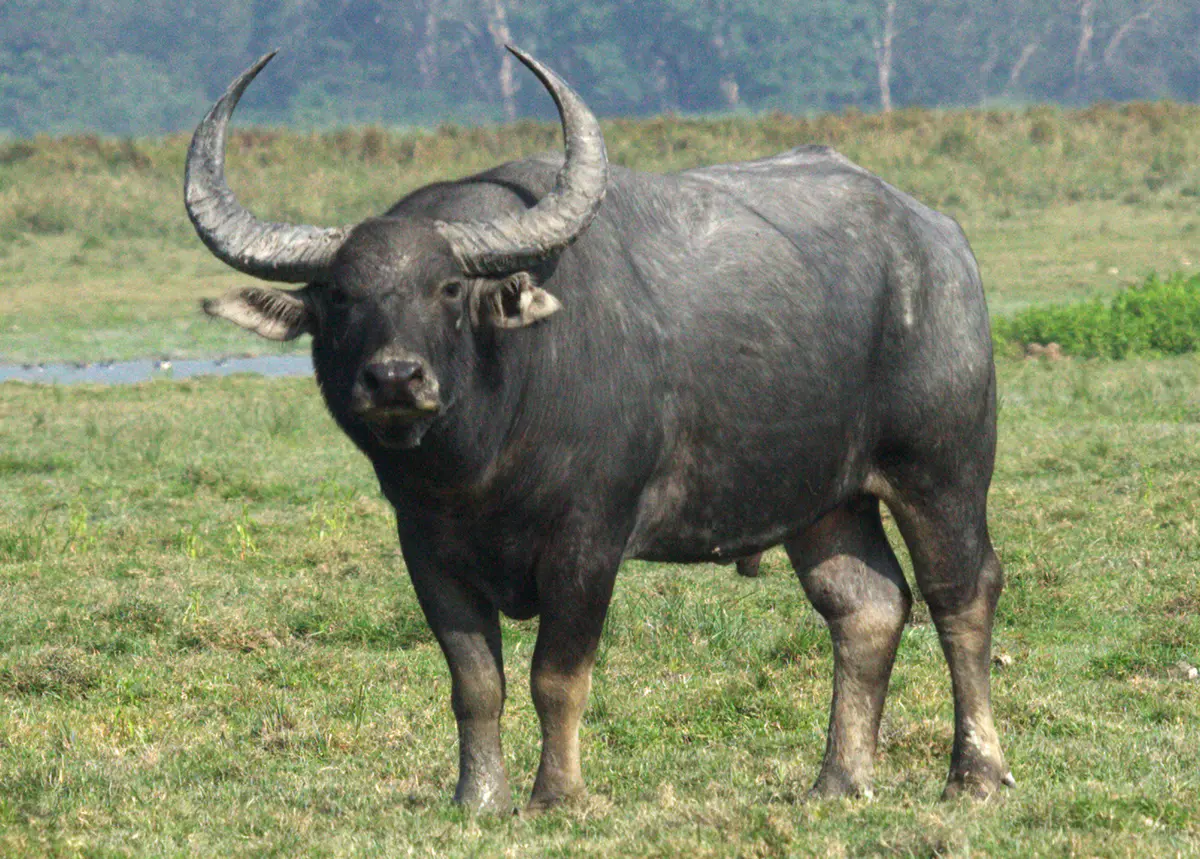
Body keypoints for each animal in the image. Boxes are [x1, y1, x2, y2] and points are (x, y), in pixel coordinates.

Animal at [185, 48, 1011, 811]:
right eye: (338, 295)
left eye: (447, 287)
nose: (394, 378)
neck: (480, 463)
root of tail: (941, 242)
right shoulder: (426, 547)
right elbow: (474, 680)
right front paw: (478, 795)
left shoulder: (589, 540)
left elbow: (556, 675)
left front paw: (557, 793)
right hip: (825, 499)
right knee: (866, 605)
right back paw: (839, 779)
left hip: (941, 468)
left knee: (960, 594)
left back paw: (975, 773)